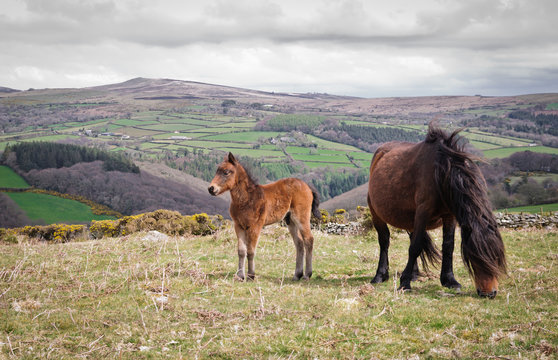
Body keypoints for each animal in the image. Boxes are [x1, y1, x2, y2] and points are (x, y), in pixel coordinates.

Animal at [210, 152, 322, 282]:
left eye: (226, 172)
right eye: (217, 170)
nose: (211, 188)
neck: (246, 199)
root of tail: (307, 186)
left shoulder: (255, 227)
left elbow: (251, 251)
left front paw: (251, 275)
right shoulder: (238, 226)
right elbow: (241, 251)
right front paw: (240, 276)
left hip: (301, 217)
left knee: (308, 240)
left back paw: (307, 275)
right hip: (290, 221)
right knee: (299, 243)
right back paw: (297, 275)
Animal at [370, 124, 510, 298]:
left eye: (497, 258)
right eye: (477, 258)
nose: (490, 293)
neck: (441, 173)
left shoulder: (449, 215)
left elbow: (448, 246)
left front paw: (450, 280)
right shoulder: (423, 212)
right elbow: (415, 246)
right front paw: (404, 283)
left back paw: (414, 274)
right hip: (376, 214)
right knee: (384, 241)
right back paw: (380, 275)